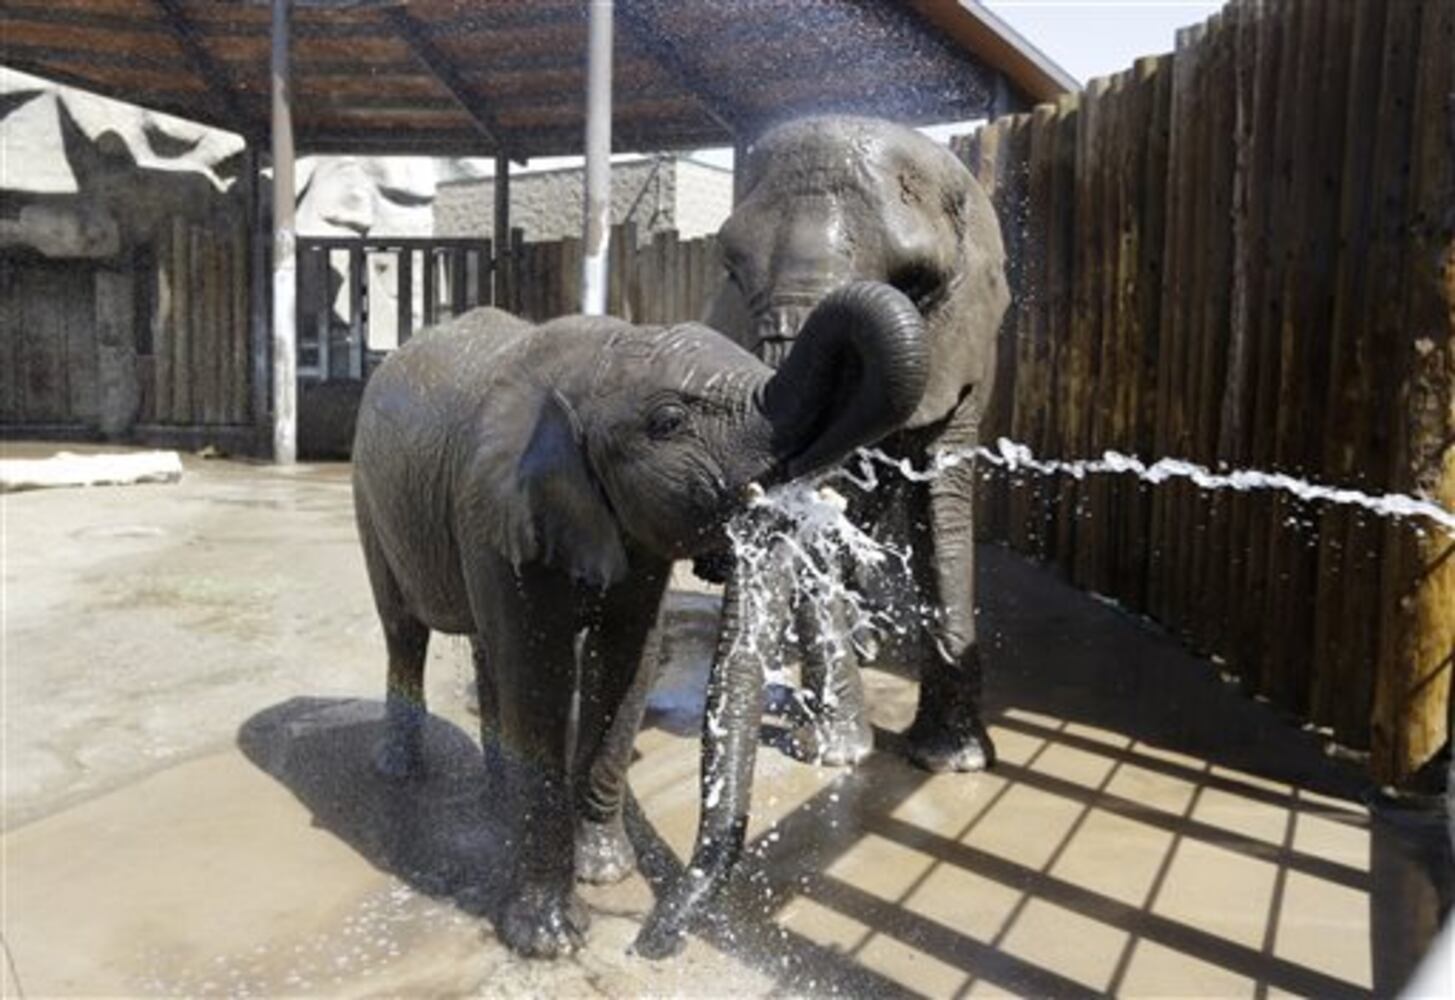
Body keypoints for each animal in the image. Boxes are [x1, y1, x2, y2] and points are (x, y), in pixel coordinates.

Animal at [346, 288, 925, 954]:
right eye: (668, 422)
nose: (651, 944)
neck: (601, 361)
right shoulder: (495, 501)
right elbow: (539, 671)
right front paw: (550, 941)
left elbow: (627, 660)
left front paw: (606, 872)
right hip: (369, 496)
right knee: (404, 631)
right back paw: (400, 769)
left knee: (487, 652)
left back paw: (497, 790)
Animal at [631, 117, 1006, 960]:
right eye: (730, 265)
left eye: (916, 280)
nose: (649, 942)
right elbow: (817, 528)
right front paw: (841, 756)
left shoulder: (965, 353)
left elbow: (940, 506)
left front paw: (951, 763)